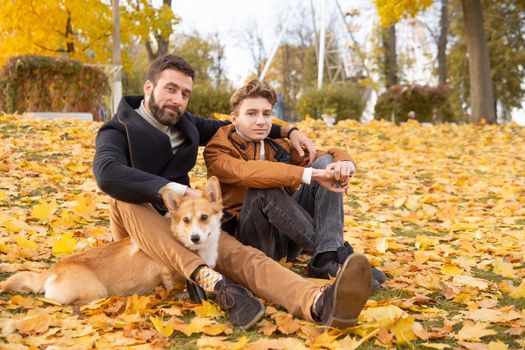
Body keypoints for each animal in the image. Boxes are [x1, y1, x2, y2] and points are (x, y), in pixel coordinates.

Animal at [0, 178, 223, 304]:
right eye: (186, 220)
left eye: (204, 217)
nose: (195, 238)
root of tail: (54, 269)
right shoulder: (167, 273)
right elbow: (175, 285)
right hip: (96, 291)